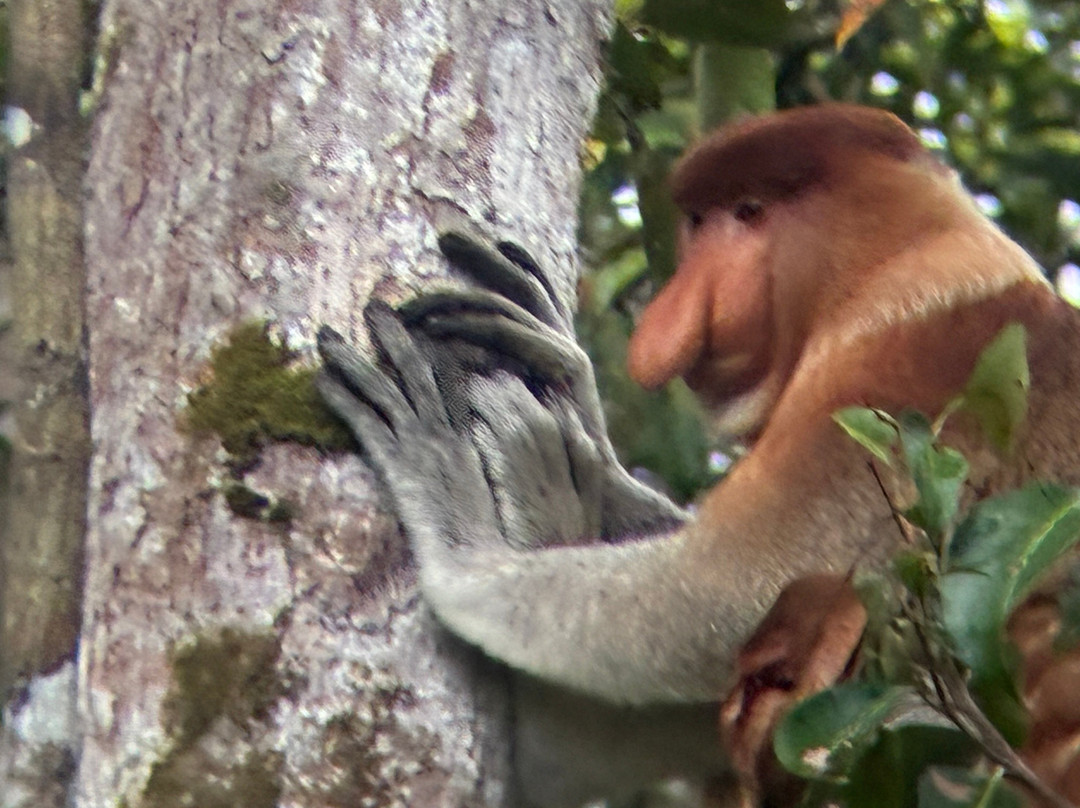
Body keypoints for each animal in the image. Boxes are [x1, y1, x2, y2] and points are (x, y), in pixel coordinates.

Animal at [316, 103, 1080, 794]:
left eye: (749, 211)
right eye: (698, 220)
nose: (672, 313)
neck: (909, 261)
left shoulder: (912, 364)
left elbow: (729, 590)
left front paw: (455, 511)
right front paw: (573, 400)